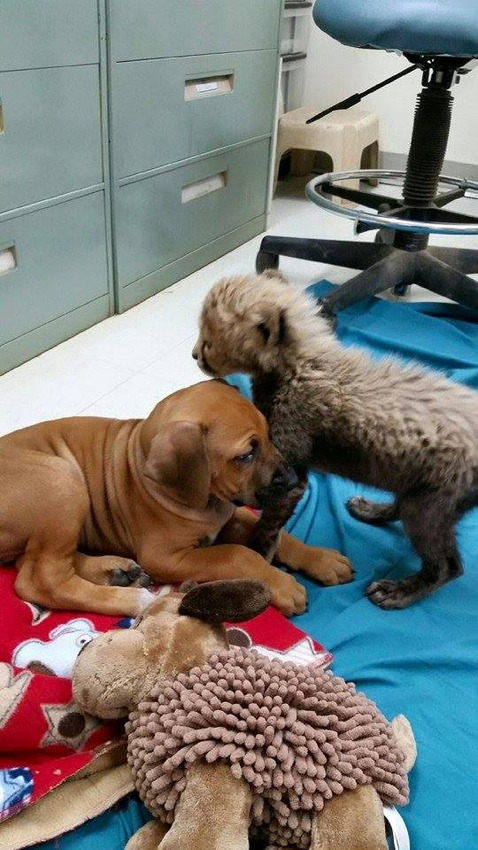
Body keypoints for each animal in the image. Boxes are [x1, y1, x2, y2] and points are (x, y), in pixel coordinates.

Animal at [0, 380, 352, 612]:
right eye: (245, 455)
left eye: (268, 436)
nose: (293, 479)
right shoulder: (165, 556)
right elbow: (236, 554)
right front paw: (281, 584)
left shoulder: (231, 515)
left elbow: (280, 536)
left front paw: (321, 559)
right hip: (61, 479)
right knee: (42, 579)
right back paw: (134, 600)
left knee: (36, 563)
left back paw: (116, 572)